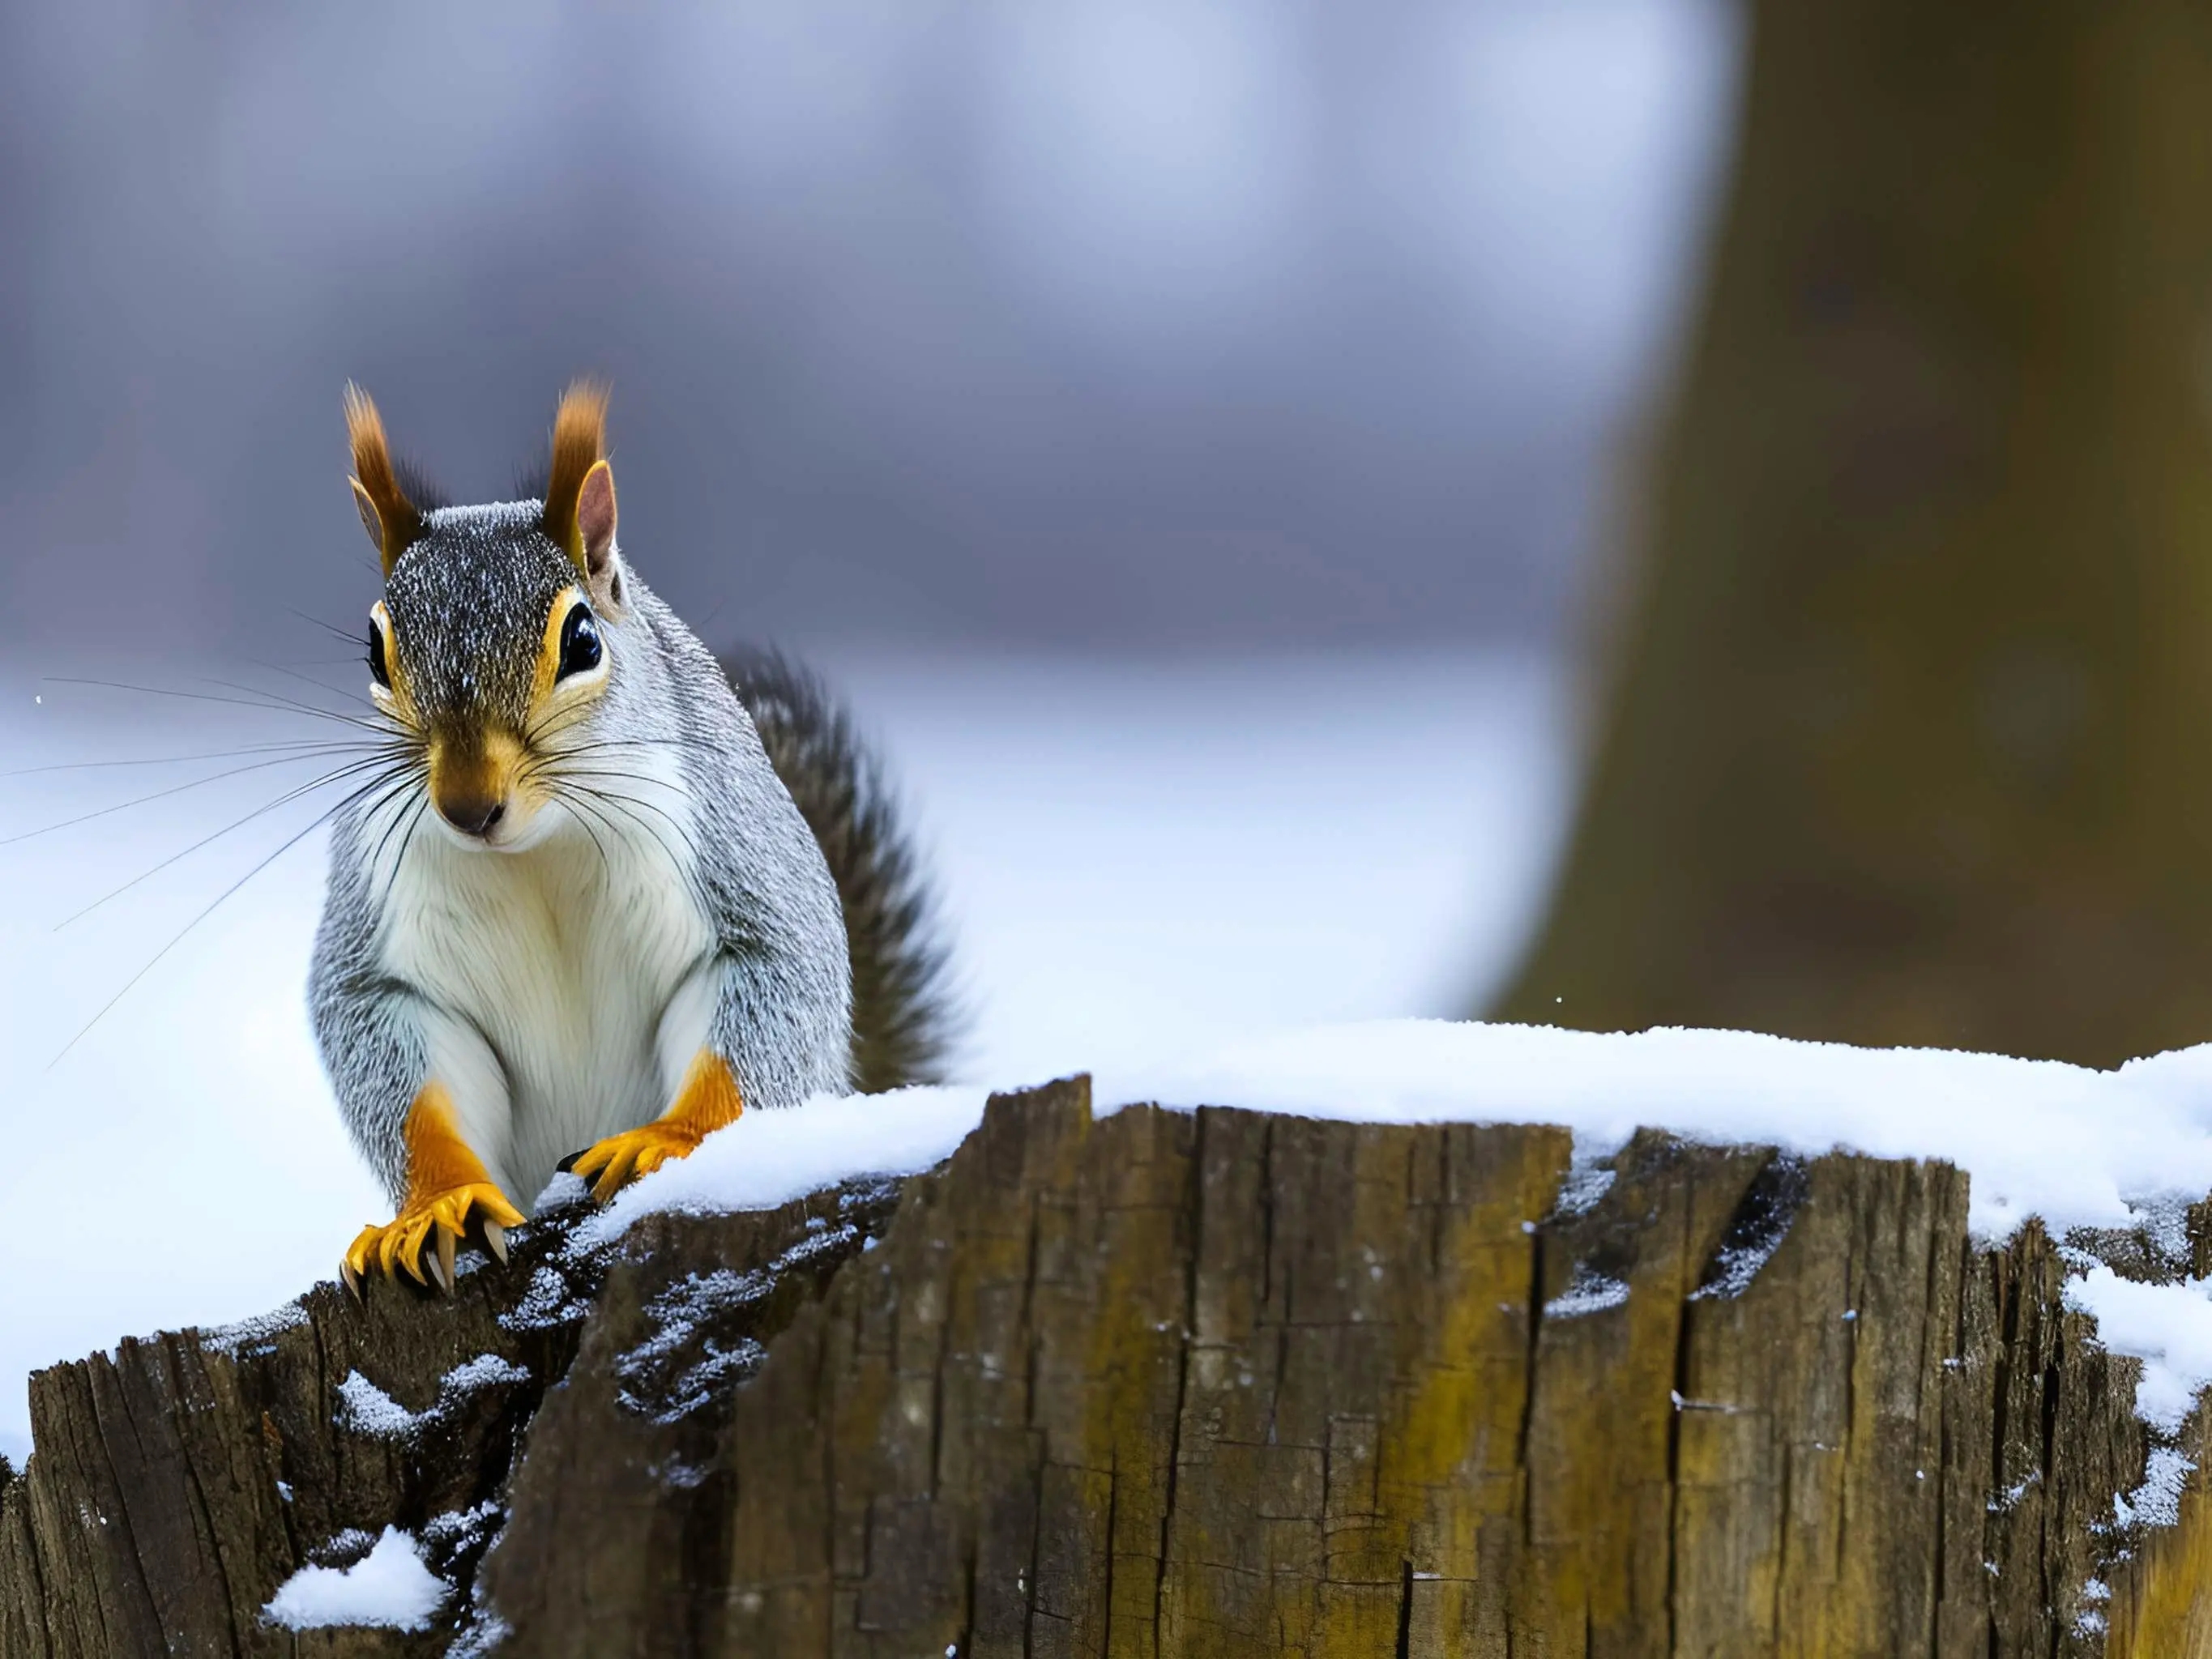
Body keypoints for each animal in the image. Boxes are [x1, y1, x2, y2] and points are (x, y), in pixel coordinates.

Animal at [310, 382, 950, 1291]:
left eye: (582, 640)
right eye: (375, 649)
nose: (468, 805)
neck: (539, 848)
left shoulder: (739, 861)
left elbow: (768, 993)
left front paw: (666, 1142)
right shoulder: (378, 942)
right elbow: (401, 1081)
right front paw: (437, 1206)